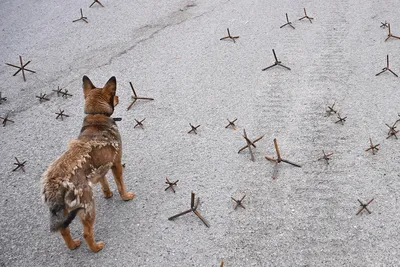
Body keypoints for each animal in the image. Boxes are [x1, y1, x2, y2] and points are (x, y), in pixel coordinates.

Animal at [41, 76, 134, 253]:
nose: (118, 98)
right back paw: (96, 247)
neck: (96, 114)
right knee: (86, 233)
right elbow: (120, 185)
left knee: (64, 230)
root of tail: (54, 183)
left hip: (65, 212)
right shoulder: (116, 164)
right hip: (88, 207)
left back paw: (72, 245)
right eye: (114, 94)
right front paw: (125, 196)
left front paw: (107, 193)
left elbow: (104, 182)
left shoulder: (101, 168)